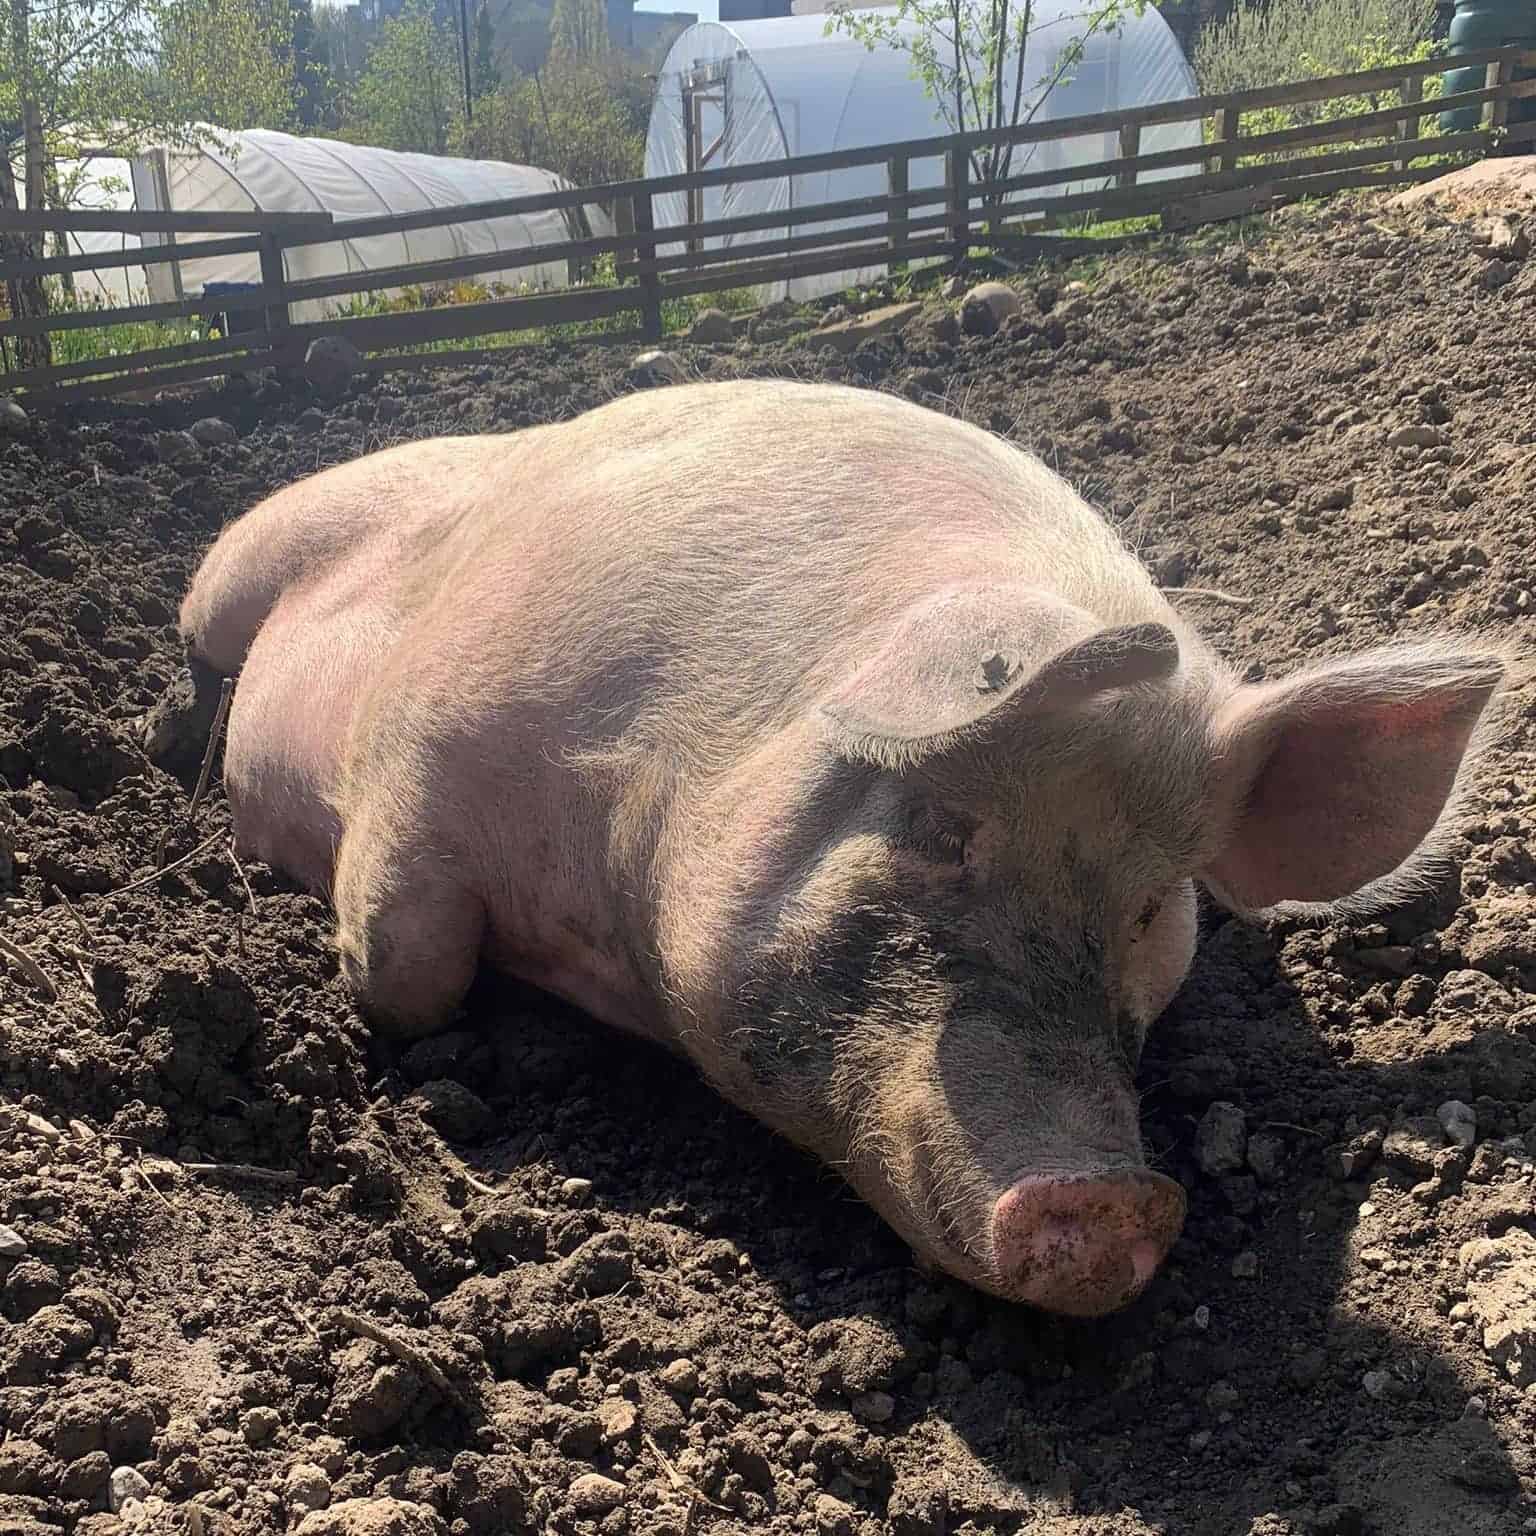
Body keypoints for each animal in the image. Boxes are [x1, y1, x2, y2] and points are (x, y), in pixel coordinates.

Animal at [176, 380, 1499, 1320]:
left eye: (1152, 905)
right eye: (941, 829)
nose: (1111, 1196)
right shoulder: (428, 735)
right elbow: (406, 970)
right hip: (241, 559)